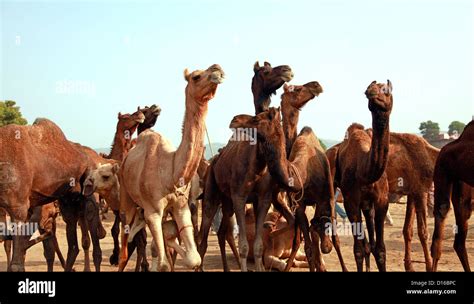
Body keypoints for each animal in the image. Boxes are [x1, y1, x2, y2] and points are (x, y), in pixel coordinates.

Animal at [116, 63, 224, 270]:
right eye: (196, 76)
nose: (218, 69)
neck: (172, 172)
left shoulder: (181, 207)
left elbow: (193, 257)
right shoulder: (153, 212)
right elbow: (164, 263)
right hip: (127, 199)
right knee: (125, 248)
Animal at [336, 80, 394, 270]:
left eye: (387, 90)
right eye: (368, 88)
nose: (371, 91)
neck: (365, 172)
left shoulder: (382, 200)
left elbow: (380, 249)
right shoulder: (350, 201)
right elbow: (359, 250)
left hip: (368, 205)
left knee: (370, 245)